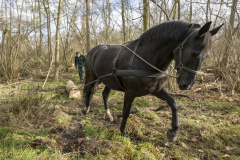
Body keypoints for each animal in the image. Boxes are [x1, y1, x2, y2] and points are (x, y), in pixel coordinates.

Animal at [83, 20, 222, 141]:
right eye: (194, 53)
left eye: (207, 56)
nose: (187, 85)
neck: (146, 59)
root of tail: (94, 50)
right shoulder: (130, 92)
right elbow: (126, 112)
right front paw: (123, 132)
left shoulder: (156, 89)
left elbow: (173, 103)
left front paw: (173, 131)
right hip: (91, 76)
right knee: (88, 91)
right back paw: (85, 110)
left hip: (109, 80)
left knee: (105, 94)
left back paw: (108, 115)